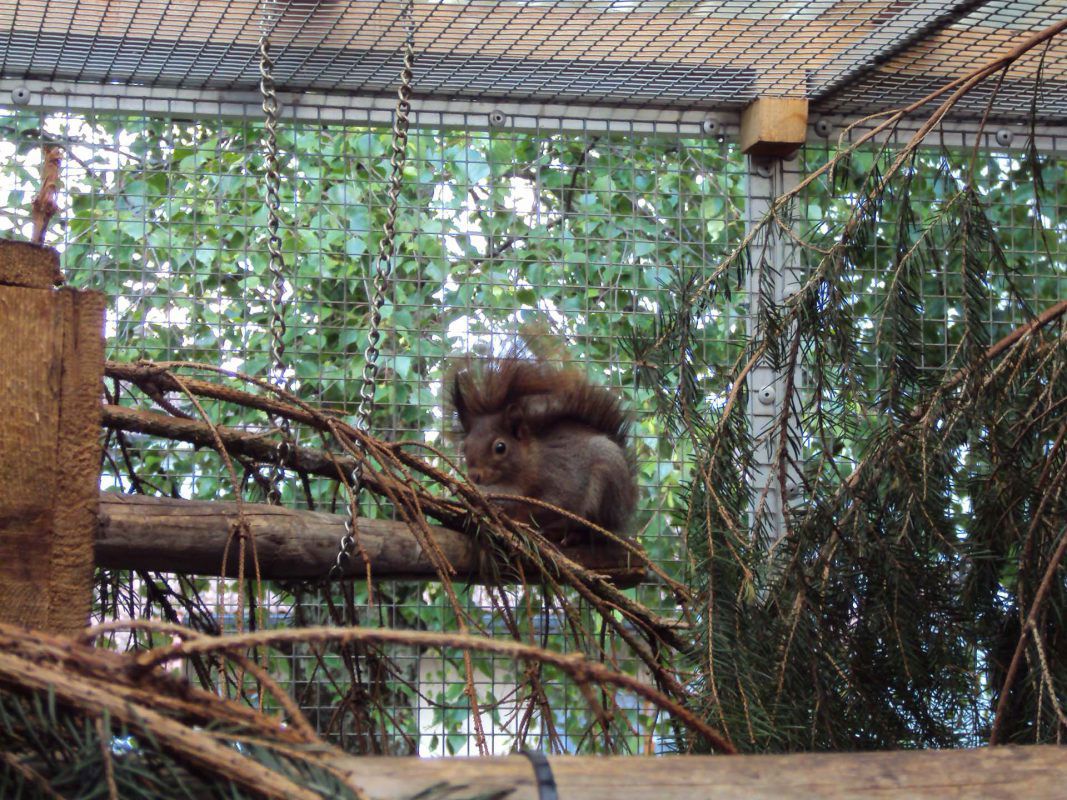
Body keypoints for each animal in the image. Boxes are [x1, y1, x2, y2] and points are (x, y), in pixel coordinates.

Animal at [447, 349, 637, 545]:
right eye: (465, 447)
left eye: (500, 447)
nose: (474, 476)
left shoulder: (558, 482)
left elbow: (544, 508)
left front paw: (519, 521)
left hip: (608, 482)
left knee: (596, 530)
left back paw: (573, 535)